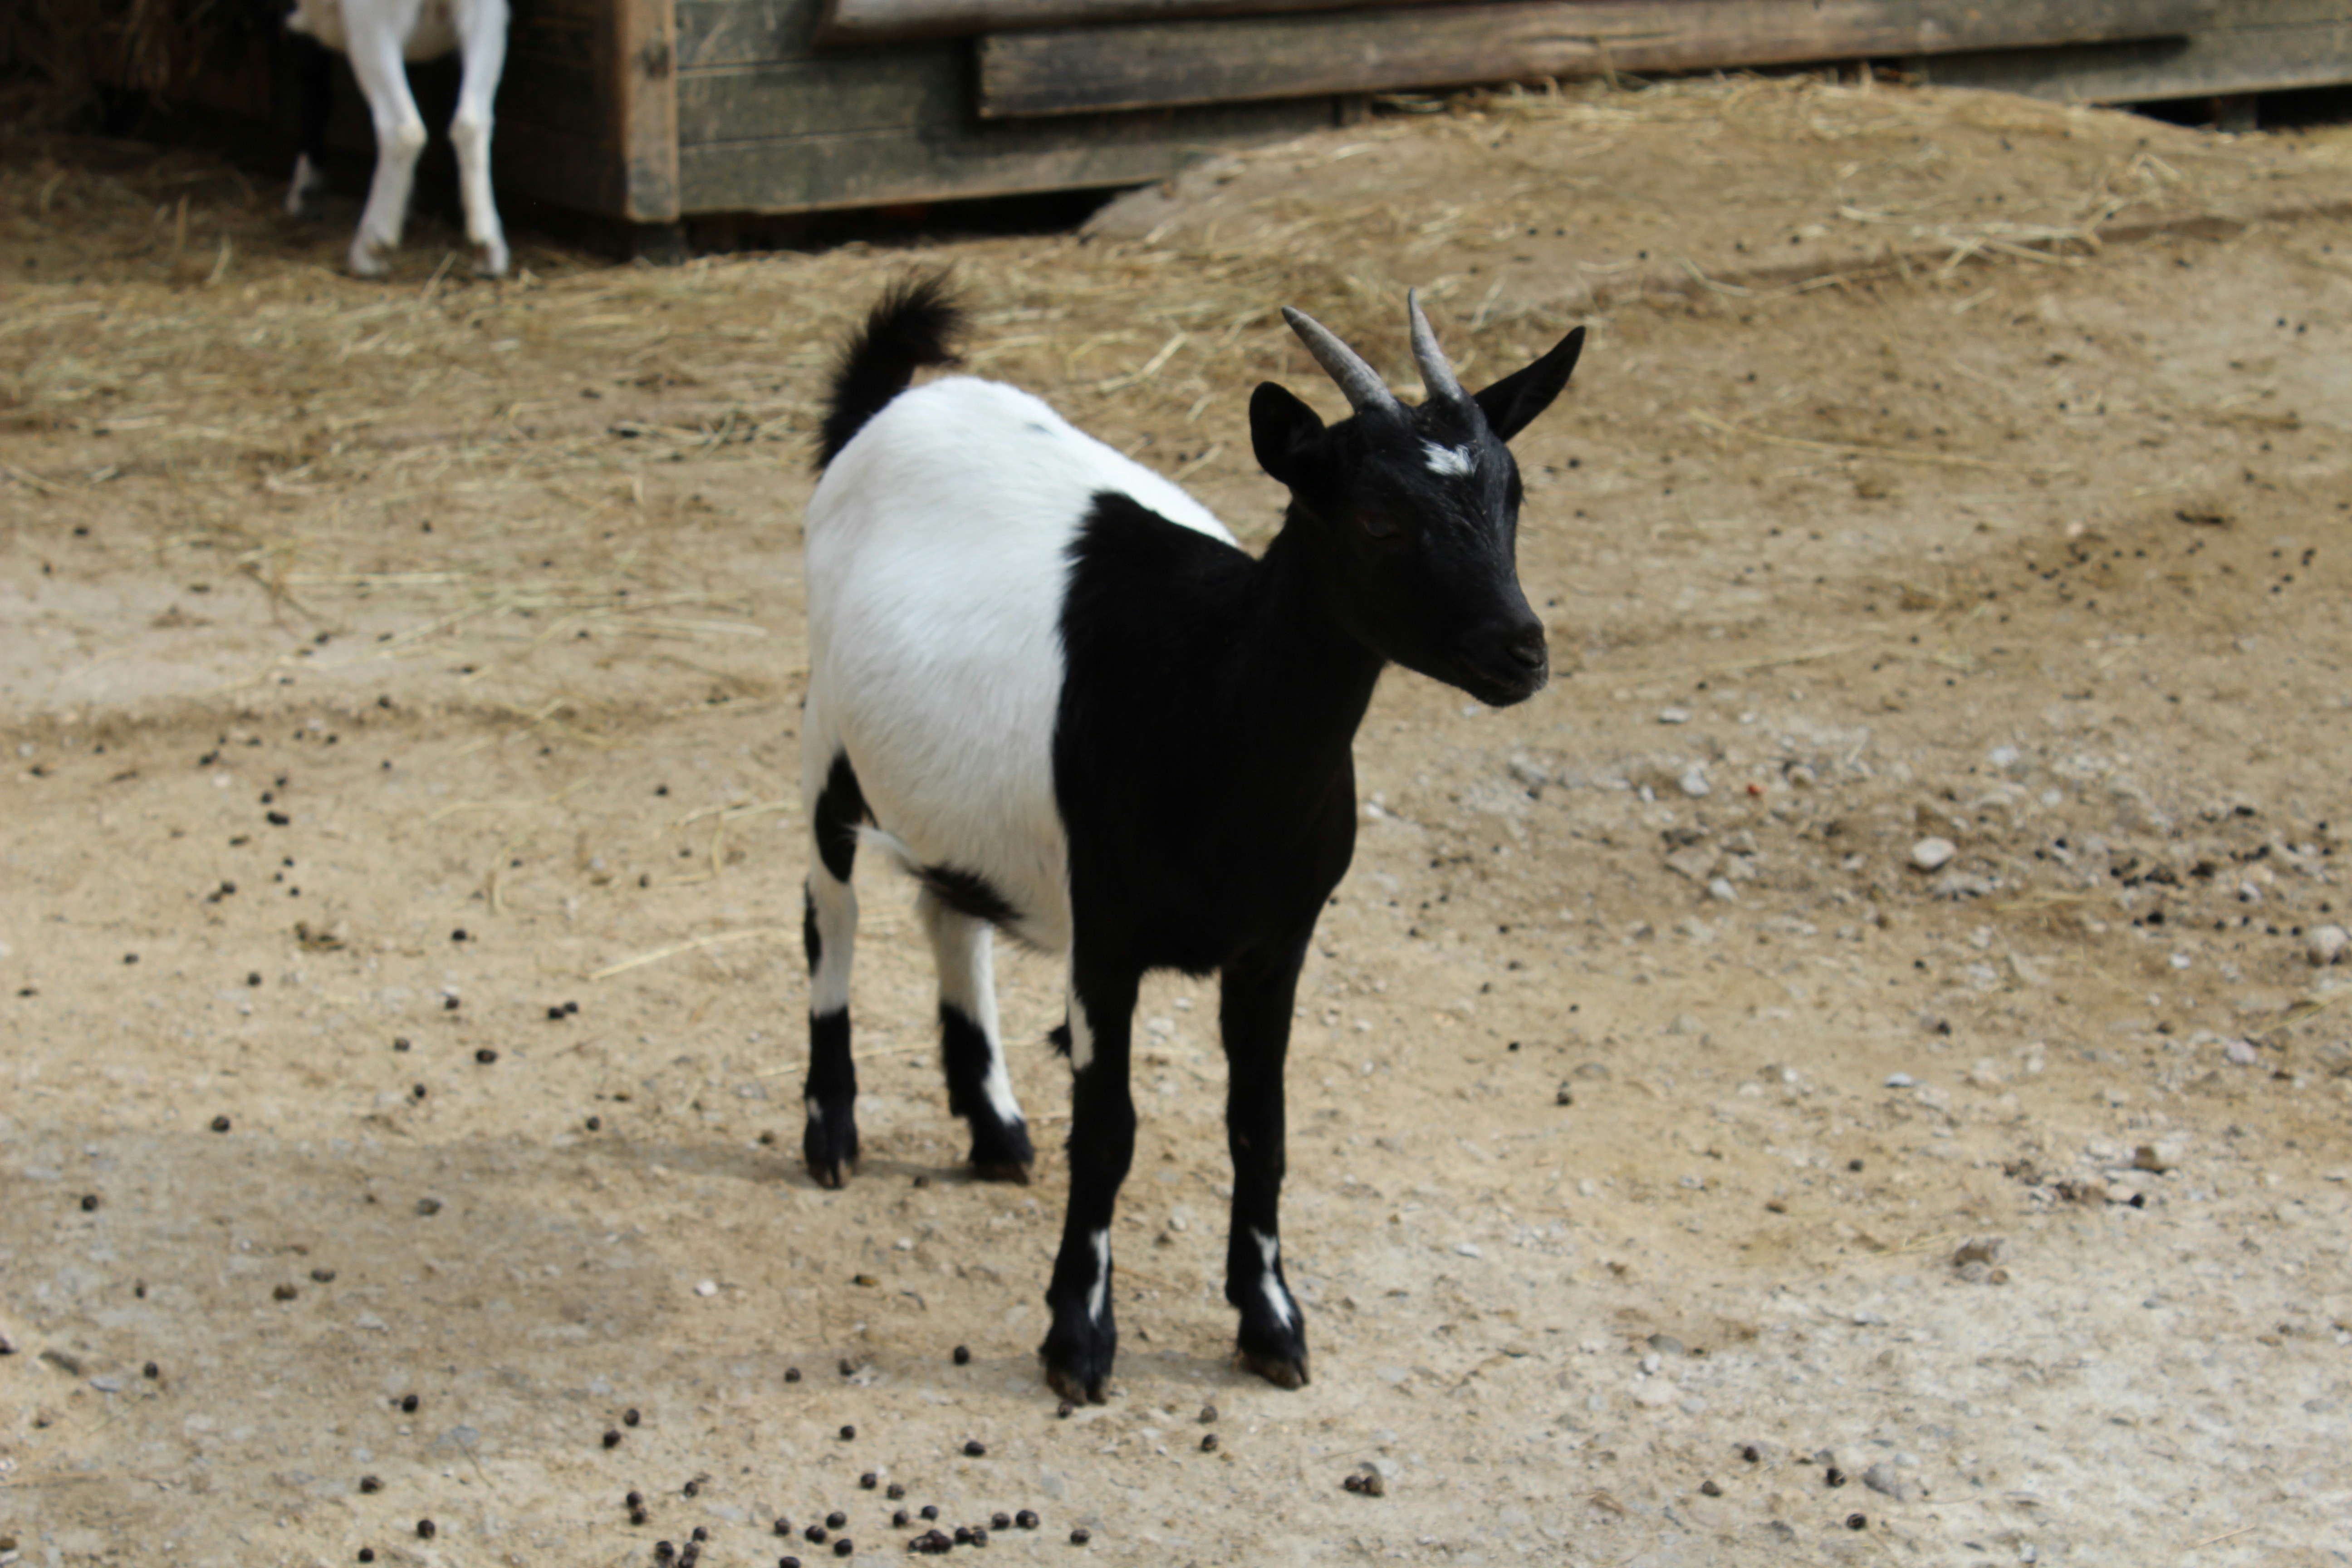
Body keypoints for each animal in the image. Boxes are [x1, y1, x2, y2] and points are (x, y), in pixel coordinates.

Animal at [281, 0, 508, 278]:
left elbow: (314, 96)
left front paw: (305, 190)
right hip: (487, 16)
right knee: (472, 121)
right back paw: (487, 245)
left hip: (372, 21)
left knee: (402, 128)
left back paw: (372, 245)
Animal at [799, 275, 1583, 1402]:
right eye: (1378, 518)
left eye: (1512, 494)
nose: (1522, 652)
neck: (1208, 700)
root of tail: (890, 408)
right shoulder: (1106, 939)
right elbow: (1108, 1133)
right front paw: (1078, 1339)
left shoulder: (1277, 944)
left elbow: (1260, 1125)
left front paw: (1271, 1322)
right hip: (827, 730)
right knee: (832, 913)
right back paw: (831, 1132)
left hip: (958, 792)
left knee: (949, 911)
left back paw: (994, 1128)